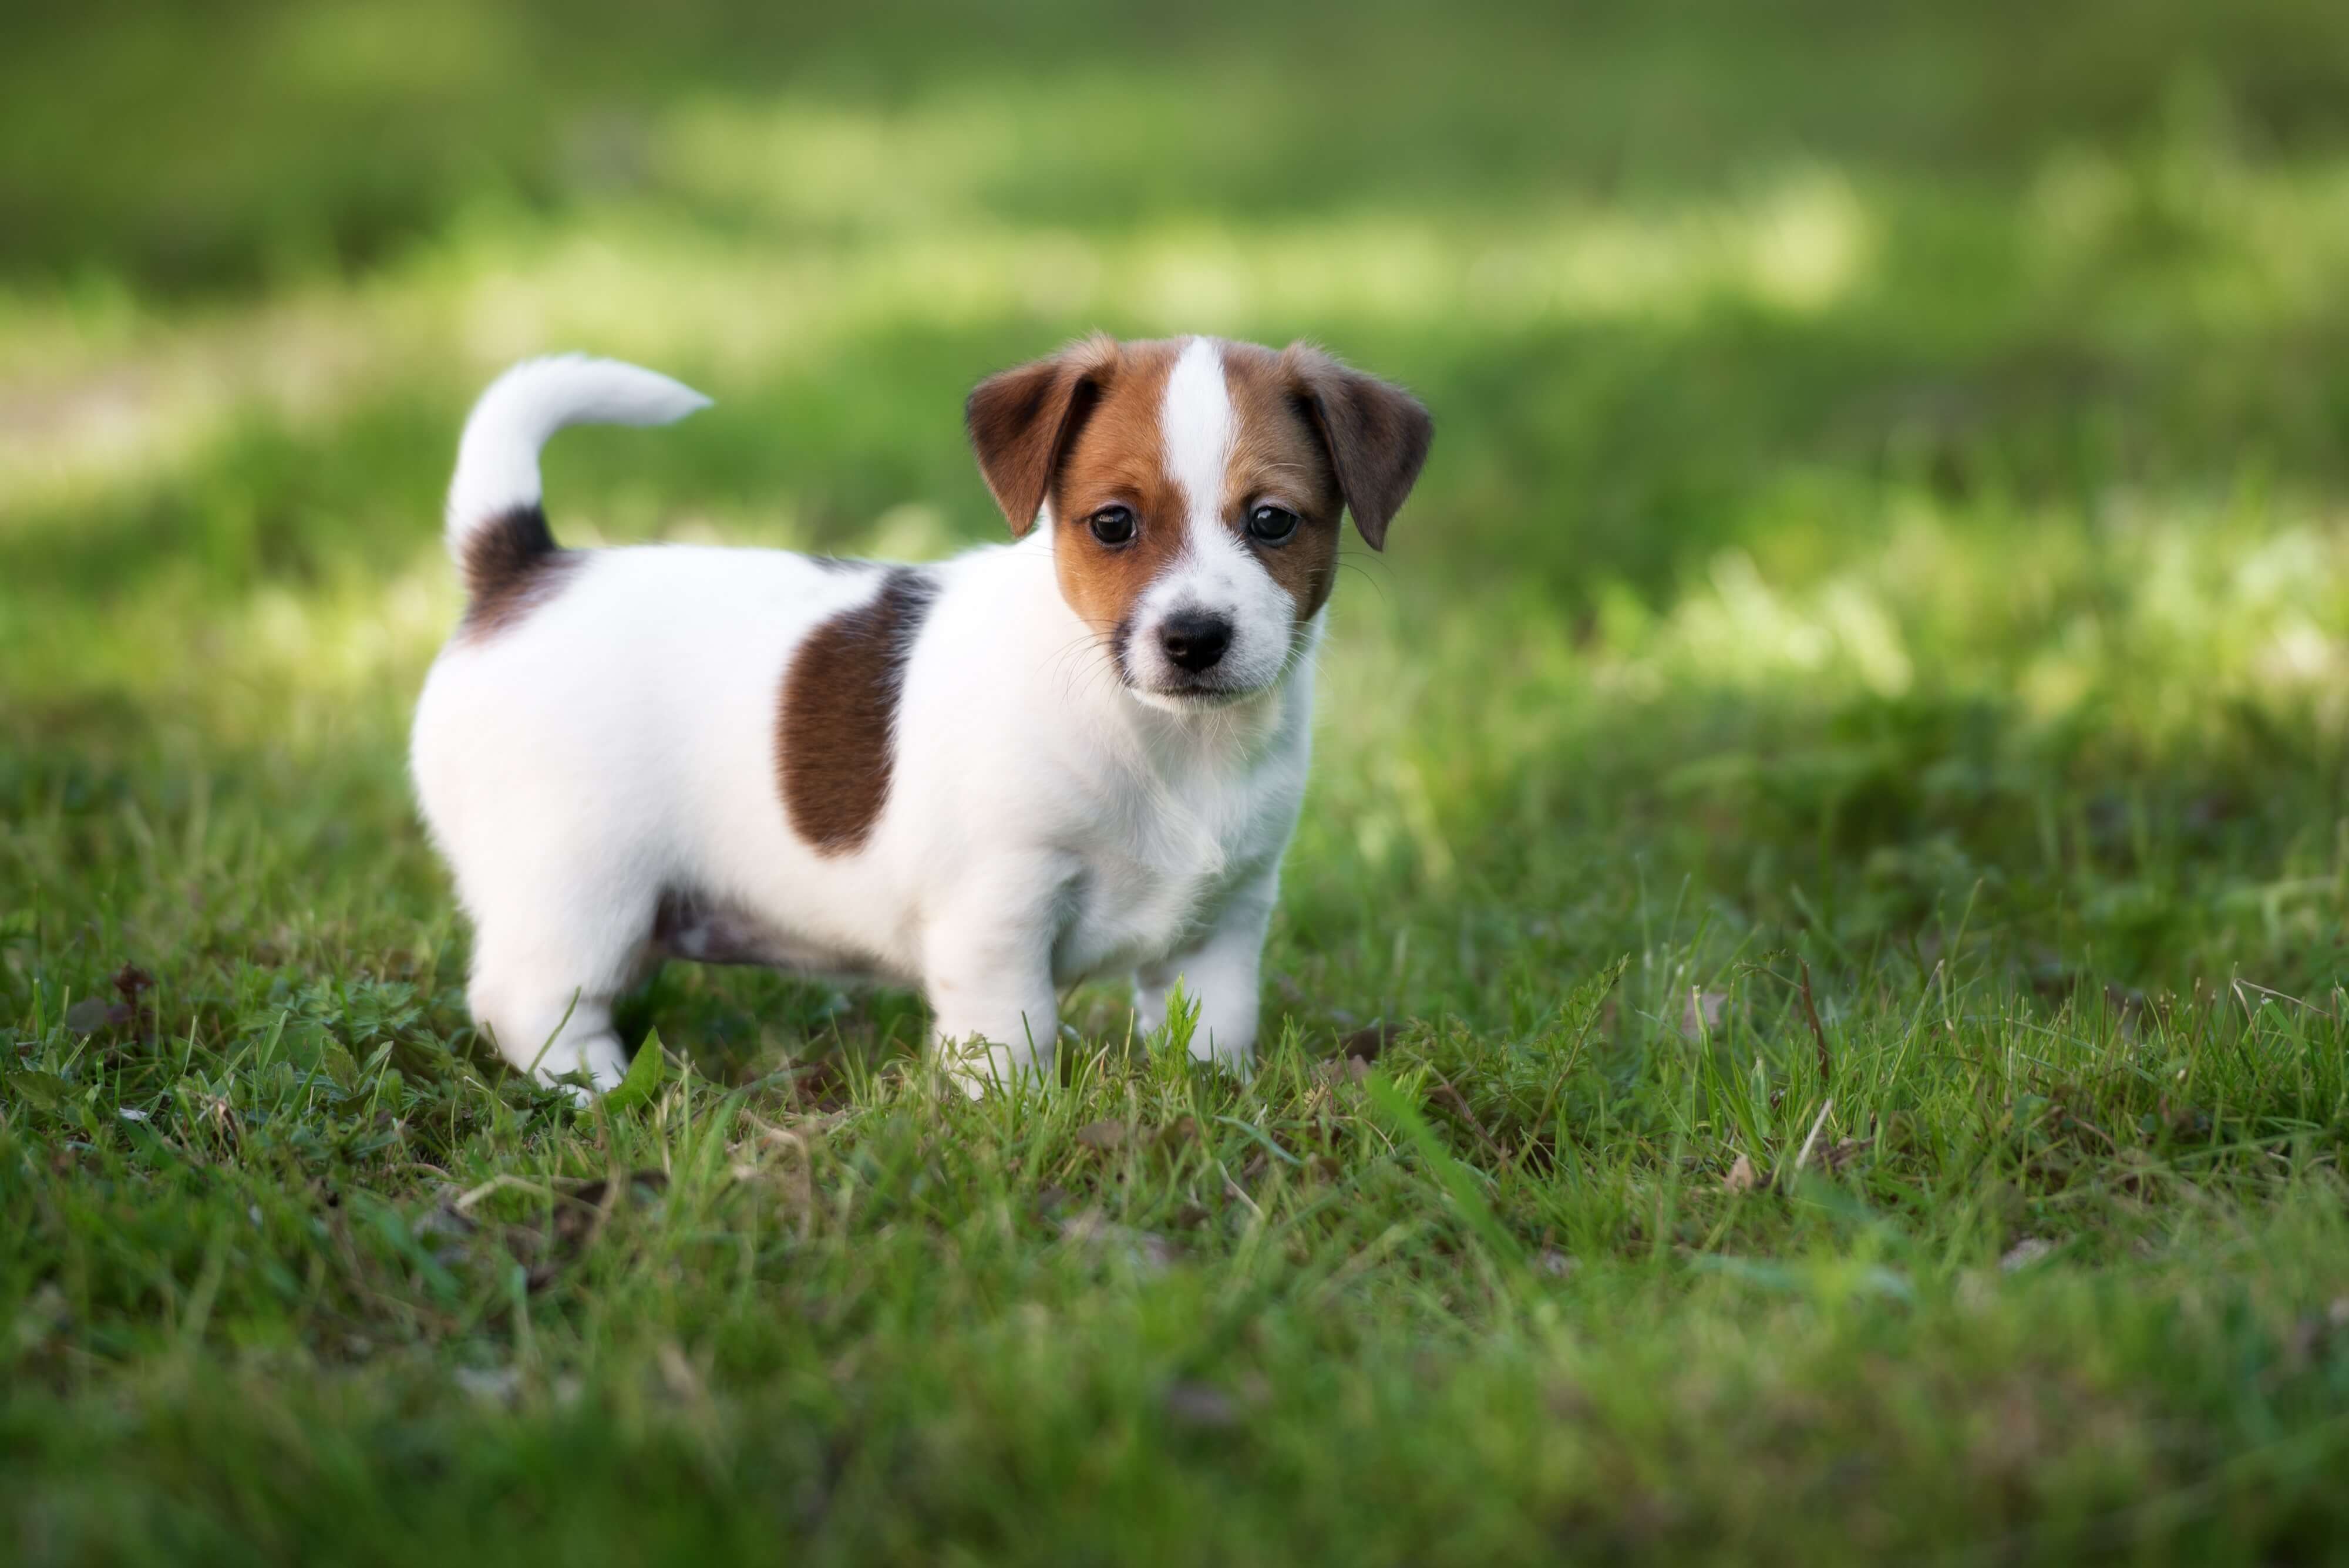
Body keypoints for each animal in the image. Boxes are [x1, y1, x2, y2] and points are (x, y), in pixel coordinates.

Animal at [411, 333, 1419, 1089]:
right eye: (1114, 524)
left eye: (1273, 521)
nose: (1196, 637)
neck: (1166, 738)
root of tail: (524, 567)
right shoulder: (999, 909)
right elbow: (1014, 1038)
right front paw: (1016, 1123)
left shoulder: (1226, 921)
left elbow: (1214, 1032)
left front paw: (1213, 1102)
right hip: (578, 885)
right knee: (527, 1002)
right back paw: (599, 1088)